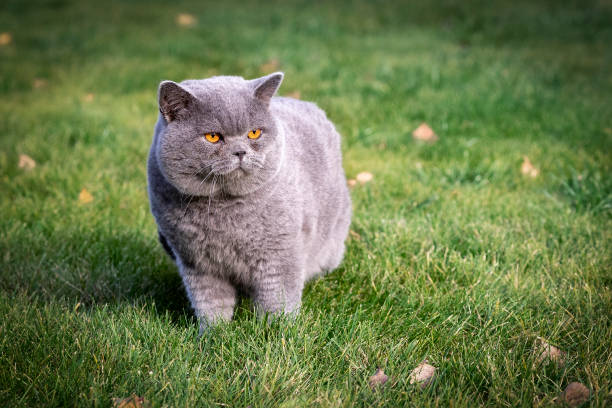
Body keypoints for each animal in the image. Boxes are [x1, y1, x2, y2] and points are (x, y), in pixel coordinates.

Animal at [146, 71, 352, 332]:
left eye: (254, 133)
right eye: (212, 137)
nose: (240, 152)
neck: (223, 208)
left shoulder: (279, 255)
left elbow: (278, 299)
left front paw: (277, 333)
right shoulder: (196, 262)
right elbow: (210, 302)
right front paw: (214, 334)